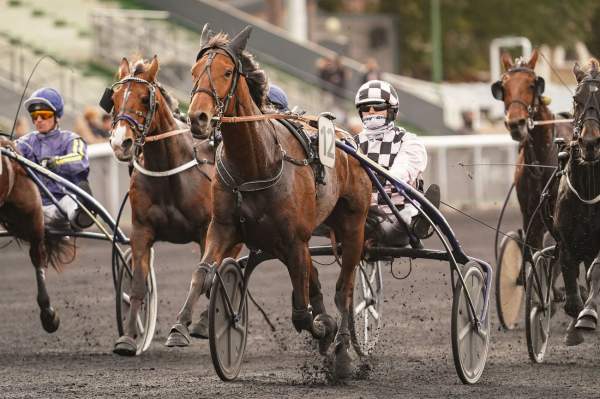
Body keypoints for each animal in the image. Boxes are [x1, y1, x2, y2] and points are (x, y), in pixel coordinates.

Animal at [106, 56, 238, 356]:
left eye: (145, 98)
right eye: (114, 98)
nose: (121, 143)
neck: (167, 170)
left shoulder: (206, 230)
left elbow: (203, 276)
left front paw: (180, 329)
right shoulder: (141, 230)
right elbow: (138, 283)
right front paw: (128, 337)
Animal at [166, 25, 372, 378]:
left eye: (227, 71)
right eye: (193, 72)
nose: (198, 118)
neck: (256, 163)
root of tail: (348, 138)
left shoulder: (293, 239)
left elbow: (301, 313)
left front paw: (324, 330)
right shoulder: (223, 228)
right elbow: (202, 272)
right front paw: (180, 327)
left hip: (352, 226)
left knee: (343, 289)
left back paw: (343, 352)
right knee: (317, 282)